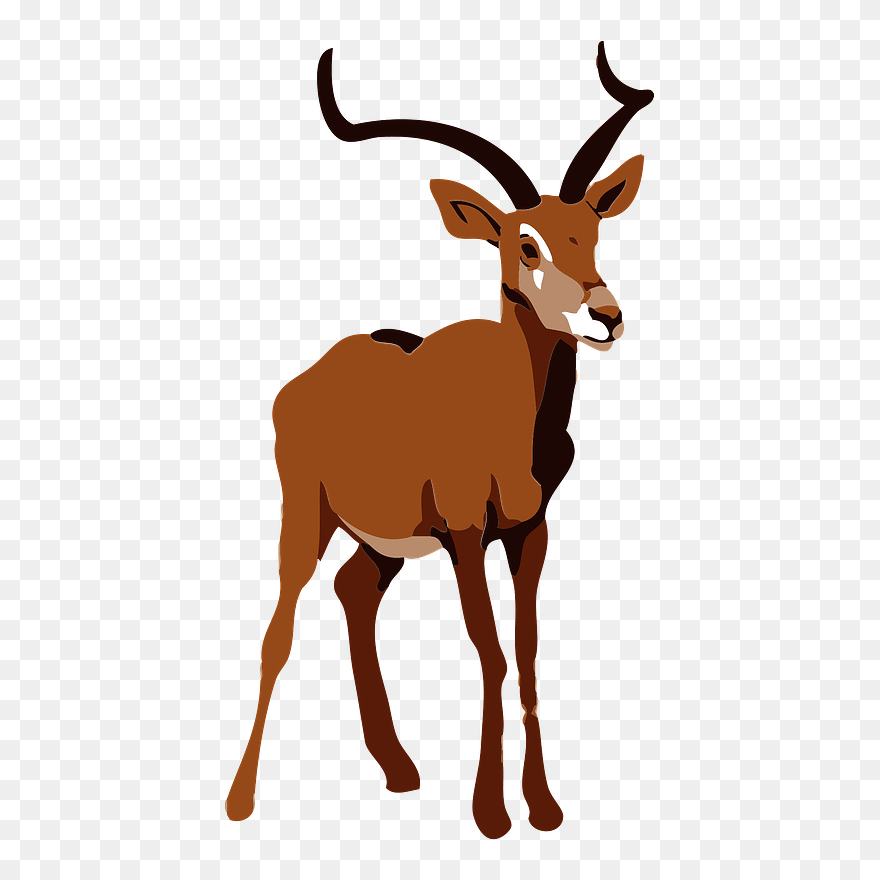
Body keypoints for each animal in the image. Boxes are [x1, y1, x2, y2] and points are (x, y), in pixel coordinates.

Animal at [226, 43, 654, 839]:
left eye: (591, 230)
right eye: (524, 242)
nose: (604, 316)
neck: (510, 422)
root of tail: (309, 379)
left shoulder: (528, 530)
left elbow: (527, 649)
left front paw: (544, 807)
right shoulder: (463, 530)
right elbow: (489, 650)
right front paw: (491, 813)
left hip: (382, 542)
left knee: (353, 591)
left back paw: (399, 770)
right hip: (306, 515)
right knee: (279, 630)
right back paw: (241, 801)